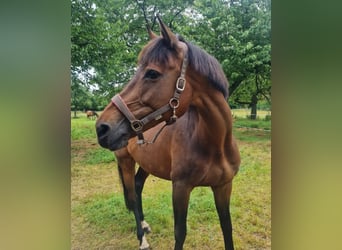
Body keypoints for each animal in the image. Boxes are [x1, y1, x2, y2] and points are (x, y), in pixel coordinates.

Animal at [96, 16, 240, 250]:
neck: (215, 144)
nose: (101, 128)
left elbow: (227, 227)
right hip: (125, 161)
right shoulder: (180, 188)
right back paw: (142, 239)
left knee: (137, 187)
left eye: (152, 73)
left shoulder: (223, 186)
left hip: (147, 163)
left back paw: (144, 225)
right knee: (132, 196)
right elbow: (180, 233)